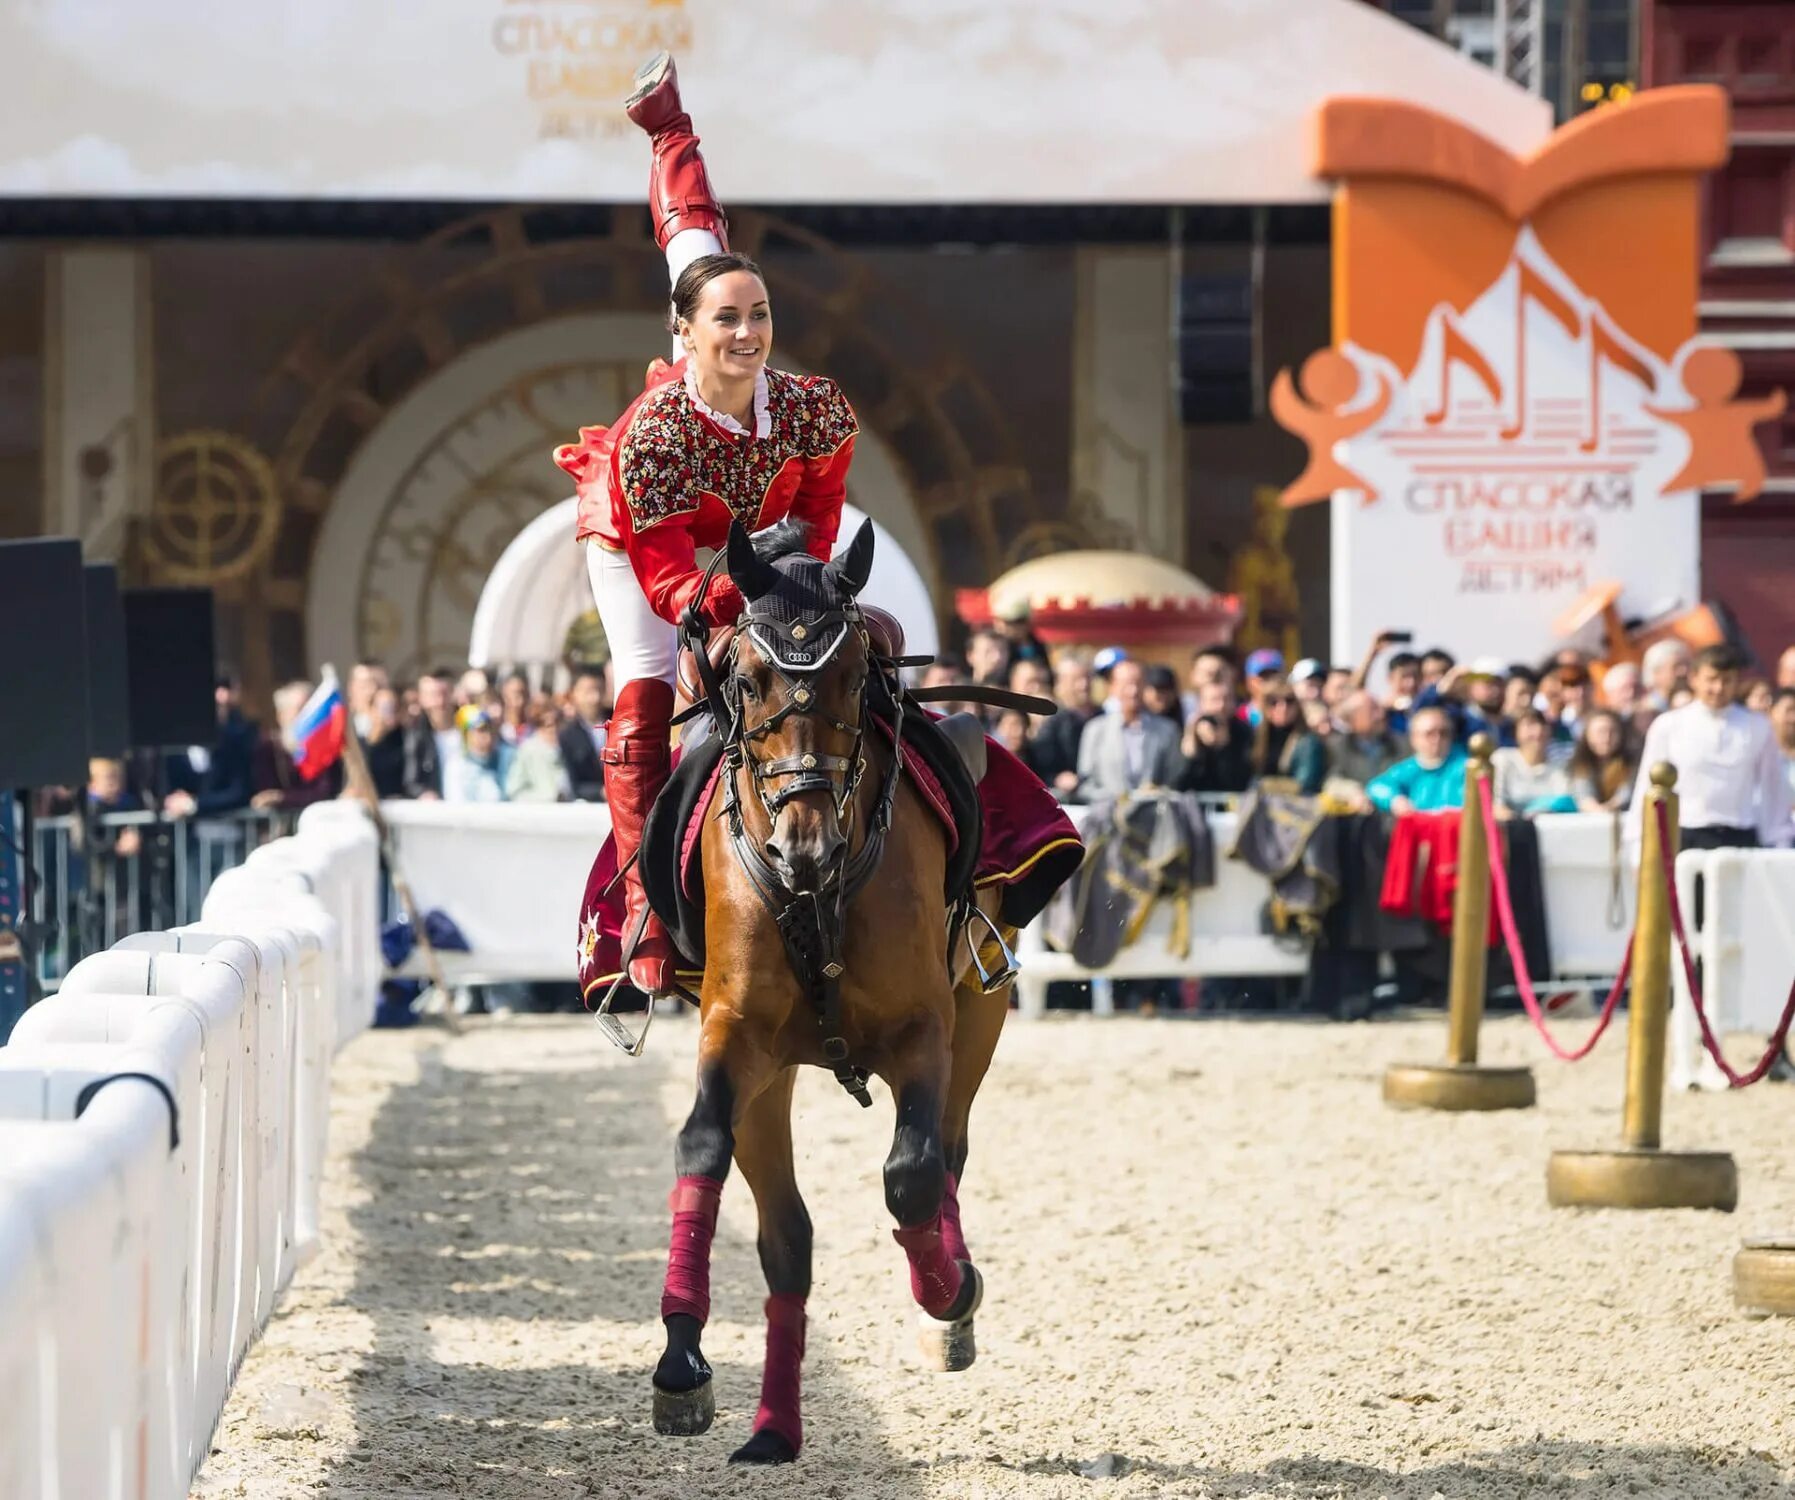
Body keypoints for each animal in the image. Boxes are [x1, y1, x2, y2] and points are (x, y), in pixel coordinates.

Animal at [653, 516, 1033, 1464]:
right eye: (745, 680)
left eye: (858, 676)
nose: (805, 845)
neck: (816, 894)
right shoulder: (733, 1032)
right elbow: (700, 1147)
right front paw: (680, 1360)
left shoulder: (923, 1029)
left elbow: (911, 1173)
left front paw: (948, 1294)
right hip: (775, 1074)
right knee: (787, 1238)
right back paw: (772, 1428)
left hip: (980, 1009)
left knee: (948, 1154)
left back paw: (947, 1305)